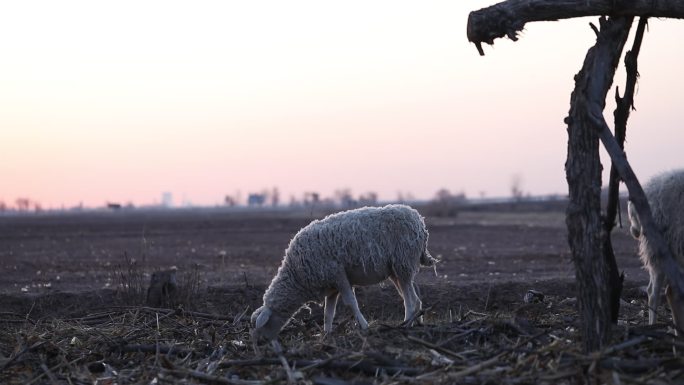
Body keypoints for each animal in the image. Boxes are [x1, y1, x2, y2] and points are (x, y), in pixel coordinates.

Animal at [251, 202, 438, 340]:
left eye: (265, 324)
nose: (260, 343)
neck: (296, 276)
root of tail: (419, 220)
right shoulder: (331, 286)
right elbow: (328, 312)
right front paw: (326, 334)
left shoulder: (338, 275)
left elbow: (351, 303)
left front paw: (364, 326)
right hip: (397, 270)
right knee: (413, 299)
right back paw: (413, 323)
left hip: (403, 264)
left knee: (411, 300)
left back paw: (406, 324)